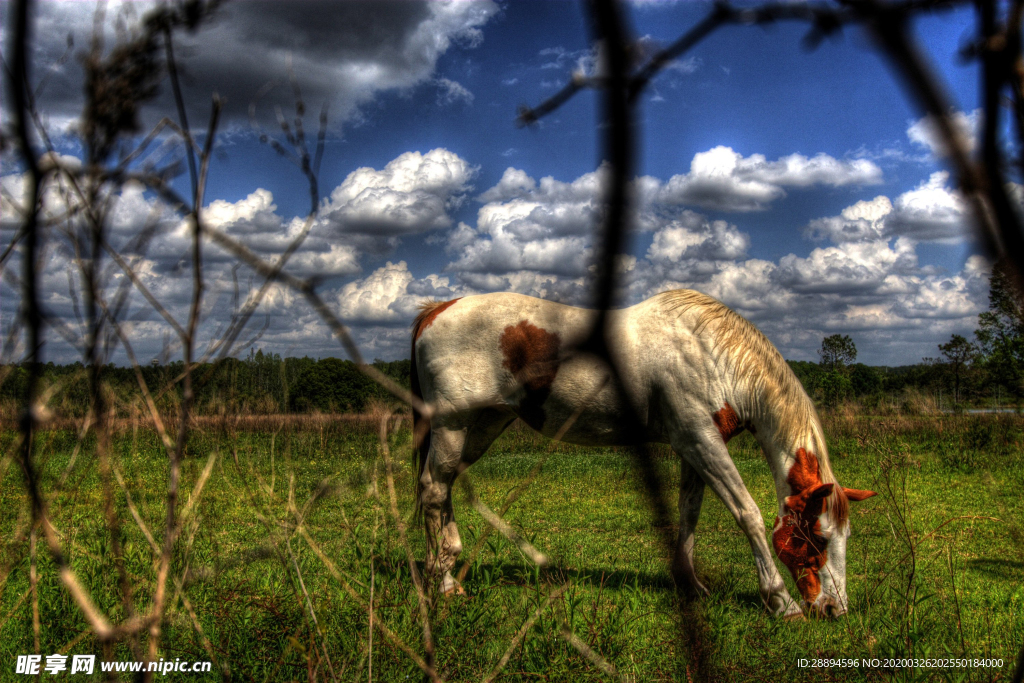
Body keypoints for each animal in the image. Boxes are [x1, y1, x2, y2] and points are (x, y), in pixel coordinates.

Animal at [411, 288, 876, 618]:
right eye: (817, 537)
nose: (834, 610)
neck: (710, 353)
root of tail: (437, 310)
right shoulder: (699, 441)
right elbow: (748, 514)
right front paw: (781, 602)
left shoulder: (696, 447)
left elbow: (689, 514)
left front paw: (691, 586)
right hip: (453, 426)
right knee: (433, 489)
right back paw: (444, 584)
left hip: (482, 427)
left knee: (444, 488)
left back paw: (446, 567)